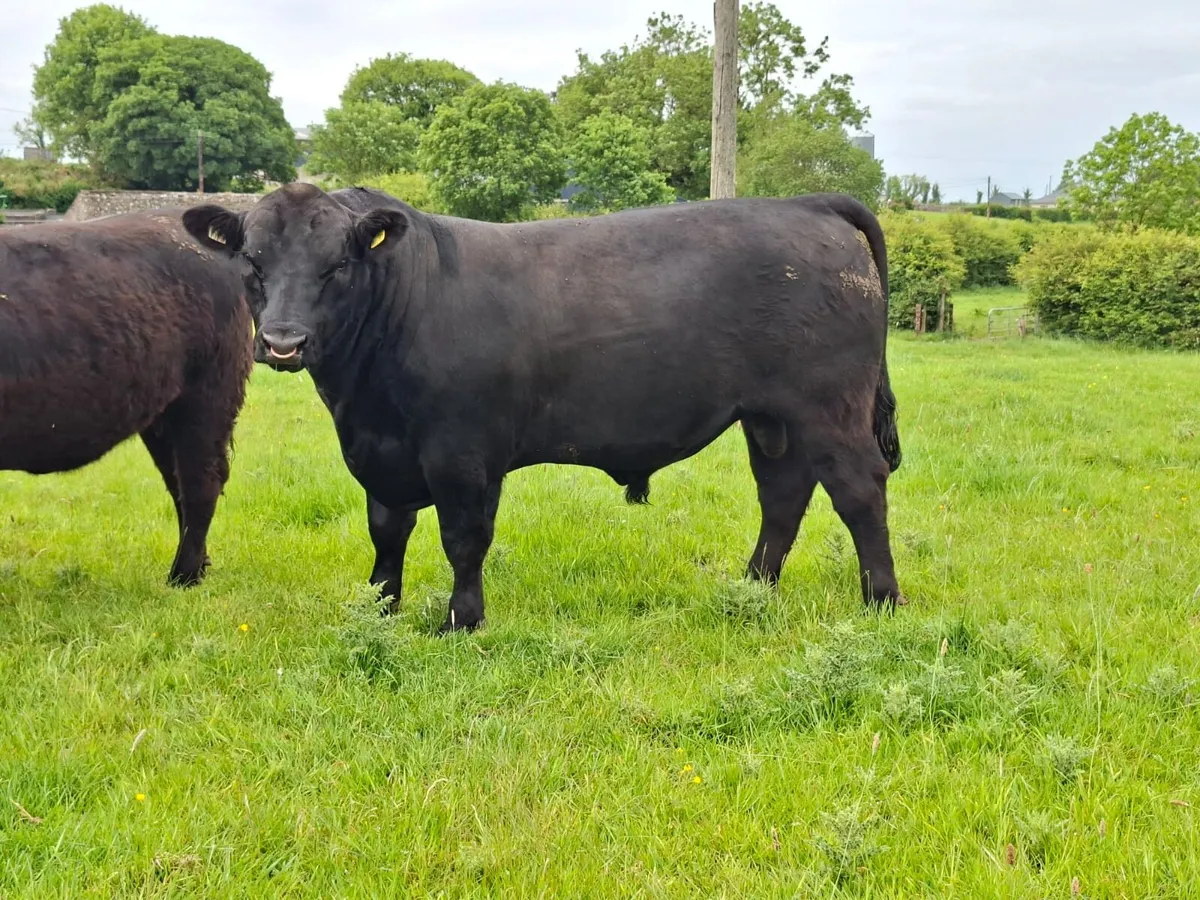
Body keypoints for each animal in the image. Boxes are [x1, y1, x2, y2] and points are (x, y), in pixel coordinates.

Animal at [181, 183, 904, 631]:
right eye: (252, 261)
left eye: (337, 266)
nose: (283, 342)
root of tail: (809, 204)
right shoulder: (379, 452)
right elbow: (387, 532)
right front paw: (381, 610)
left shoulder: (462, 453)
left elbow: (463, 538)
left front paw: (461, 621)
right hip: (770, 417)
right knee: (783, 494)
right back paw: (752, 587)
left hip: (829, 408)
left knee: (858, 490)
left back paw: (882, 599)